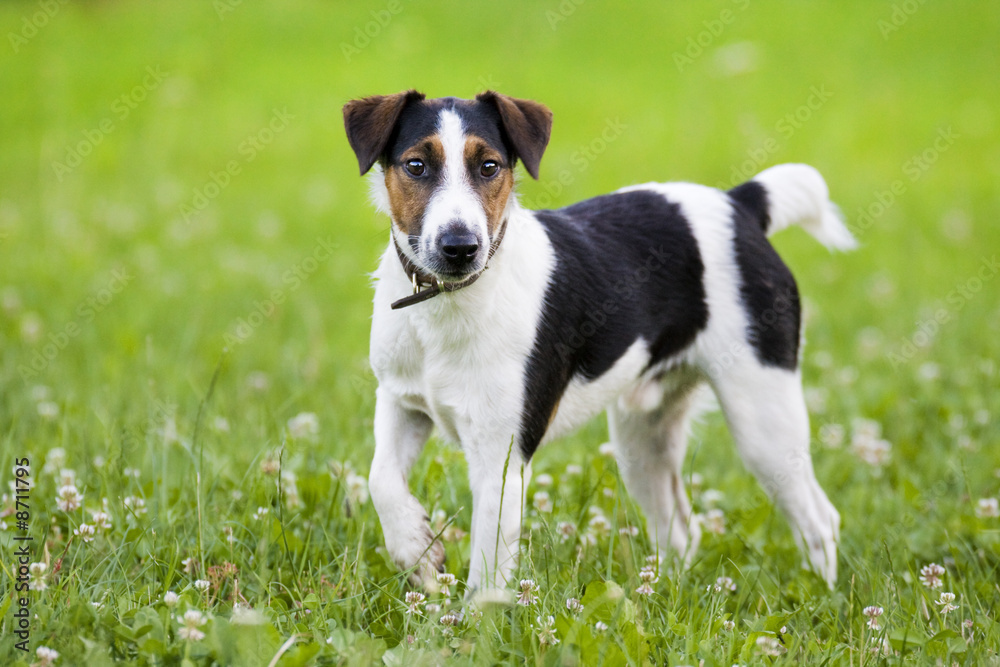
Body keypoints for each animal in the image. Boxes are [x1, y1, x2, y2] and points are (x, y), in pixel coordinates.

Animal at [342, 88, 852, 596]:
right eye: (415, 165)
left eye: (489, 166)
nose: (460, 247)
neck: (449, 304)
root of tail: (737, 204)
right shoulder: (400, 402)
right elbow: (380, 479)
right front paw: (417, 550)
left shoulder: (500, 460)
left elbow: (487, 579)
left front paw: (469, 615)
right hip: (642, 438)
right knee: (681, 531)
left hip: (763, 420)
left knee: (820, 519)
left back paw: (823, 597)